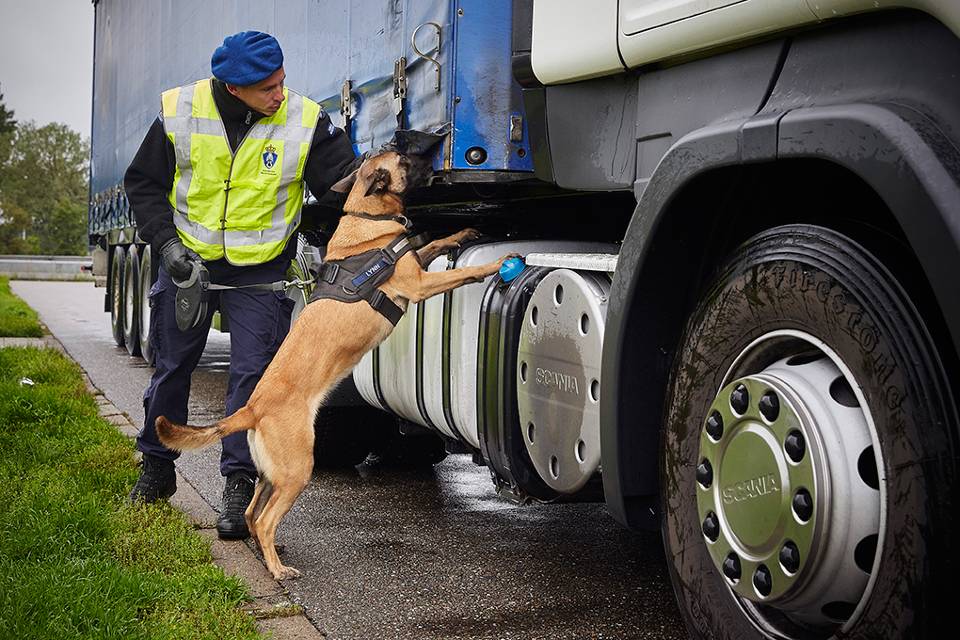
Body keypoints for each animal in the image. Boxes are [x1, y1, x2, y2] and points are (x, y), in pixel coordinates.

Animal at [156, 150, 516, 580]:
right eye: (404, 157)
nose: (435, 150)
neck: (366, 214)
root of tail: (252, 408)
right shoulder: (417, 285)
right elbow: (462, 272)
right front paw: (496, 263)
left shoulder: (414, 263)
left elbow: (431, 243)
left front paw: (461, 233)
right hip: (298, 468)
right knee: (264, 518)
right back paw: (278, 568)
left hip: (272, 473)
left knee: (252, 511)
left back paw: (269, 550)